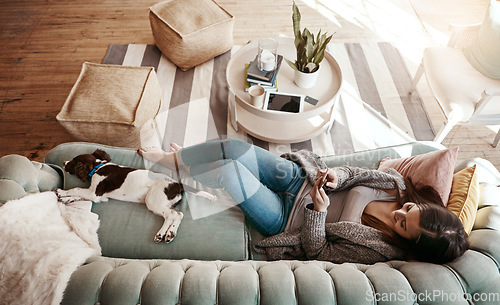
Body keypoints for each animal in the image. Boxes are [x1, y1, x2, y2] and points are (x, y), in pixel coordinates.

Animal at [57, 149, 217, 242]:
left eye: (73, 162)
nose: (63, 162)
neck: (98, 167)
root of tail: (177, 184)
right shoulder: (99, 196)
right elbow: (79, 195)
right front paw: (65, 198)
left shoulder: (95, 193)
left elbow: (77, 189)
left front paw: (62, 192)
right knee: (176, 214)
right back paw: (168, 234)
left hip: (152, 200)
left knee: (173, 214)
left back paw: (163, 234)